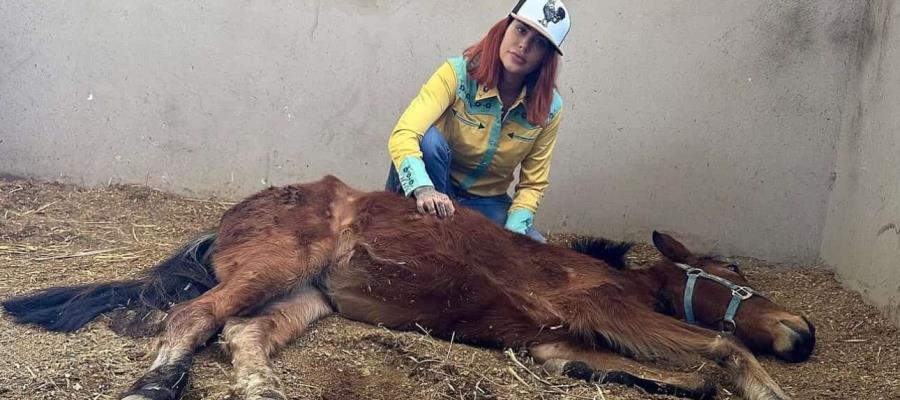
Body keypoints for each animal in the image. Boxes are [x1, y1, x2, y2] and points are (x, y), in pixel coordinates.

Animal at [1, 175, 816, 400]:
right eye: (734, 276)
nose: (804, 335)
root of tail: (231, 215)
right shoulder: (605, 309)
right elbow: (720, 349)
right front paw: (769, 389)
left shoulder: (555, 347)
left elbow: (645, 373)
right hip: (273, 272)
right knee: (192, 317)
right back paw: (153, 388)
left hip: (304, 298)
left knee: (239, 332)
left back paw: (262, 389)